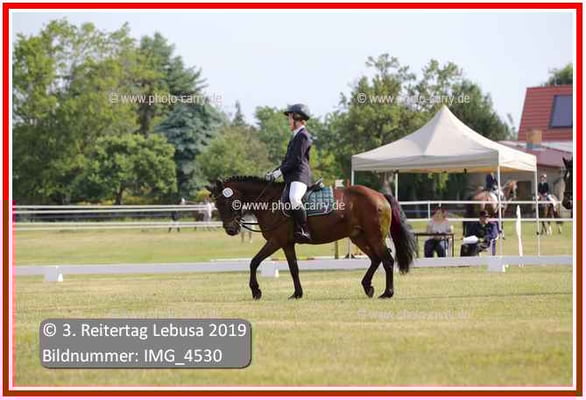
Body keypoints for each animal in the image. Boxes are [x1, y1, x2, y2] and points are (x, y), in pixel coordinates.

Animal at [206, 176, 417, 300]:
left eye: (226, 202)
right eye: (216, 204)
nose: (230, 229)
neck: (269, 200)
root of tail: (380, 195)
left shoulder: (276, 241)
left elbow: (254, 262)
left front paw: (256, 291)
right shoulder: (287, 244)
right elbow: (294, 269)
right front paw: (297, 294)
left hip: (374, 237)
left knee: (387, 260)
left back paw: (387, 293)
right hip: (359, 237)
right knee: (375, 259)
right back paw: (368, 287)